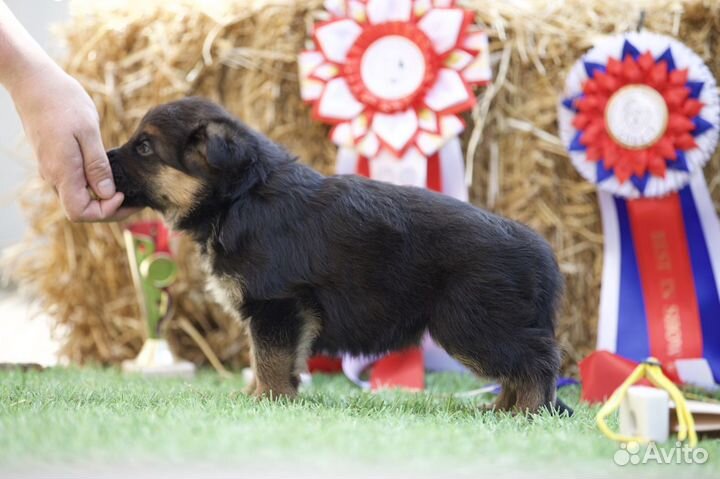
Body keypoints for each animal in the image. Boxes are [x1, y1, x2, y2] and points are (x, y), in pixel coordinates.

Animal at [108, 95, 568, 414]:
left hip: (472, 325)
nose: (103, 161)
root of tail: (541, 252)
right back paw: (501, 409)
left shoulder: (276, 306)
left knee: (538, 360)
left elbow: (269, 358)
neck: (239, 198)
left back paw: (526, 412)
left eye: (144, 148)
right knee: (521, 365)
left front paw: (267, 400)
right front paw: (265, 395)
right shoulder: (285, 315)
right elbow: (276, 358)